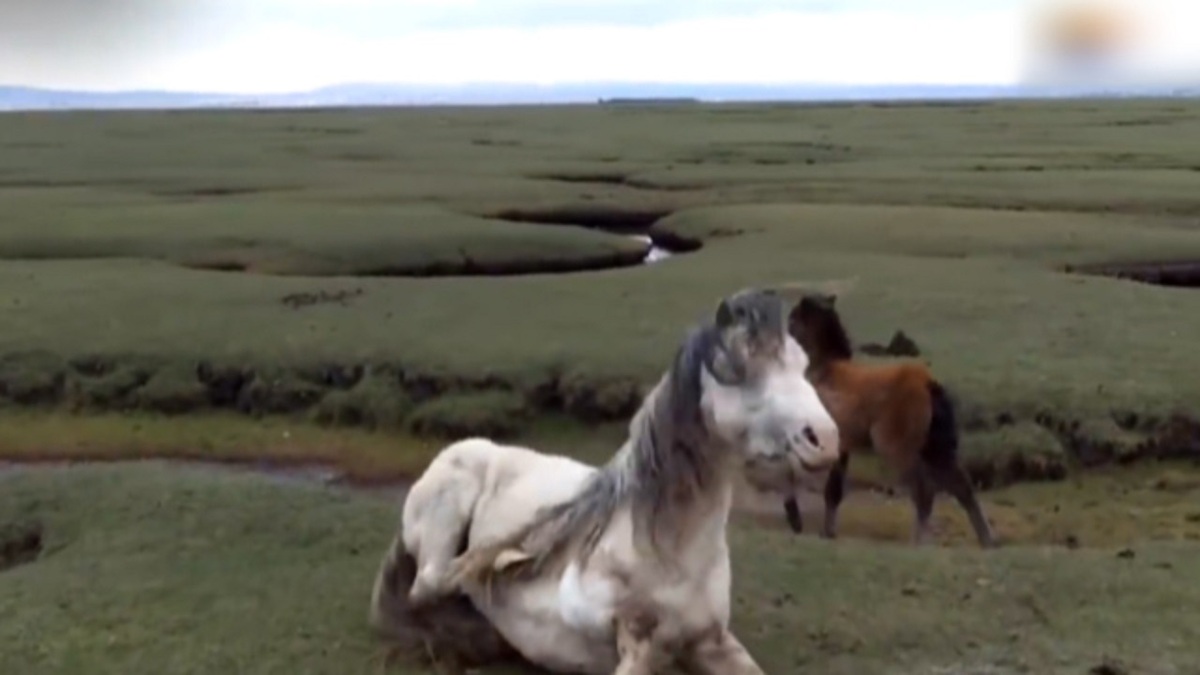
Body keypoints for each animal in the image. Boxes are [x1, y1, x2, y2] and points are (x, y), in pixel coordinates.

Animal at [369, 285, 840, 667]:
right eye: (744, 373)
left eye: (802, 364)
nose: (827, 440)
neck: (667, 550)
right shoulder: (636, 646)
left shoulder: (714, 641)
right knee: (431, 583)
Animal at [777, 294, 993, 547]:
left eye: (794, 318)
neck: (827, 371)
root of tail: (928, 384)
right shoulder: (843, 446)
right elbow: (834, 490)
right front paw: (827, 531)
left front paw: (795, 517)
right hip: (937, 449)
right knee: (963, 488)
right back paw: (988, 539)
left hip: (898, 449)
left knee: (924, 491)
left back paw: (919, 541)